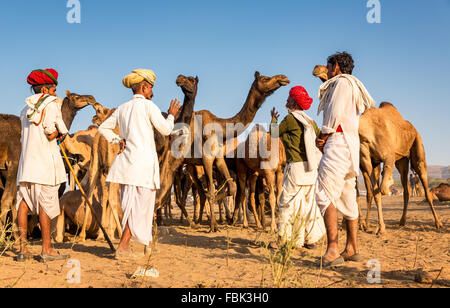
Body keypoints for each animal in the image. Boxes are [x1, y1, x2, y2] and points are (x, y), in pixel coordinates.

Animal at [312, 65, 442, 233]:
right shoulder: (367, 160)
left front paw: (371, 225)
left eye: (328, 67)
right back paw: (401, 221)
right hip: (401, 160)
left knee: (424, 184)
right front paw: (376, 227)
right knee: (405, 189)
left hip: (417, 147)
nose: (317, 68)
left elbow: (380, 189)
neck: (367, 128)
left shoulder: (387, 157)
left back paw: (437, 223)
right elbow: (373, 192)